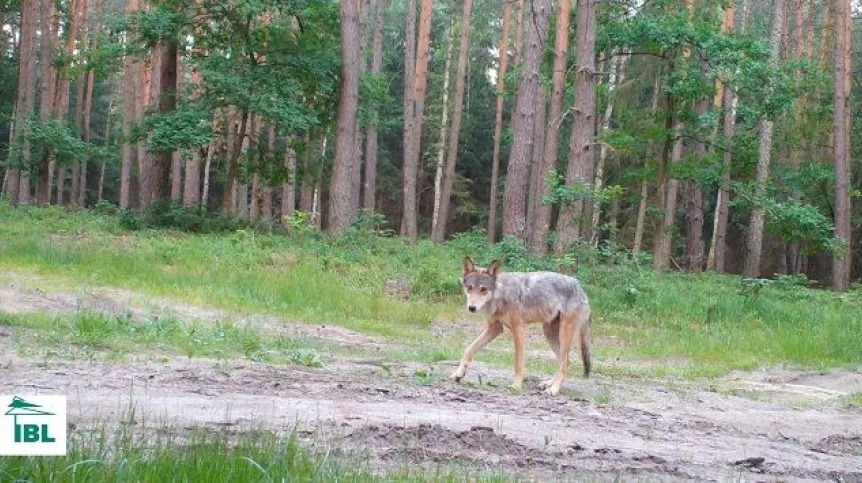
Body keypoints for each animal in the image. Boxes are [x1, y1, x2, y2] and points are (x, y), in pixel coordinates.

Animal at [452, 260, 592, 396]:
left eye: (483, 289)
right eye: (469, 288)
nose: (472, 308)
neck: (501, 293)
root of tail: (580, 287)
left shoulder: (518, 329)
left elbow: (518, 363)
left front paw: (516, 386)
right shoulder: (494, 328)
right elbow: (468, 350)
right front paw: (458, 374)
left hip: (563, 334)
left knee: (563, 364)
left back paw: (553, 389)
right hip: (549, 333)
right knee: (565, 362)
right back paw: (548, 383)